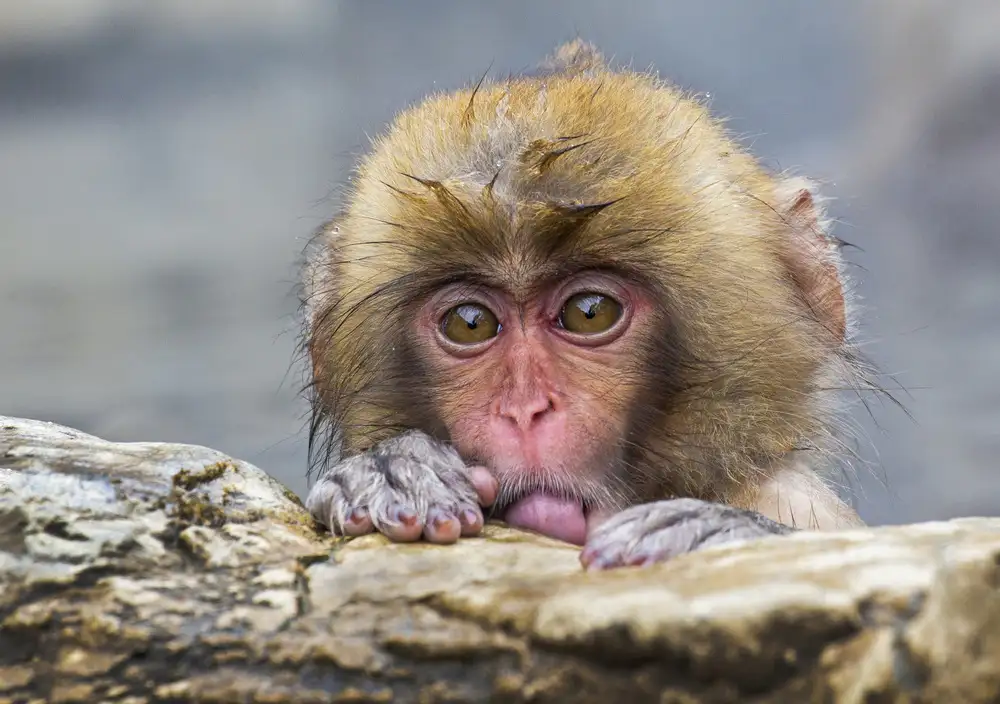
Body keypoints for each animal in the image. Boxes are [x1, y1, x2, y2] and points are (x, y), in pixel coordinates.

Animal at [300, 39, 874, 570]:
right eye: (470, 323)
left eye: (589, 312)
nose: (525, 411)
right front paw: (390, 469)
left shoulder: (795, 503)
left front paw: (717, 533)